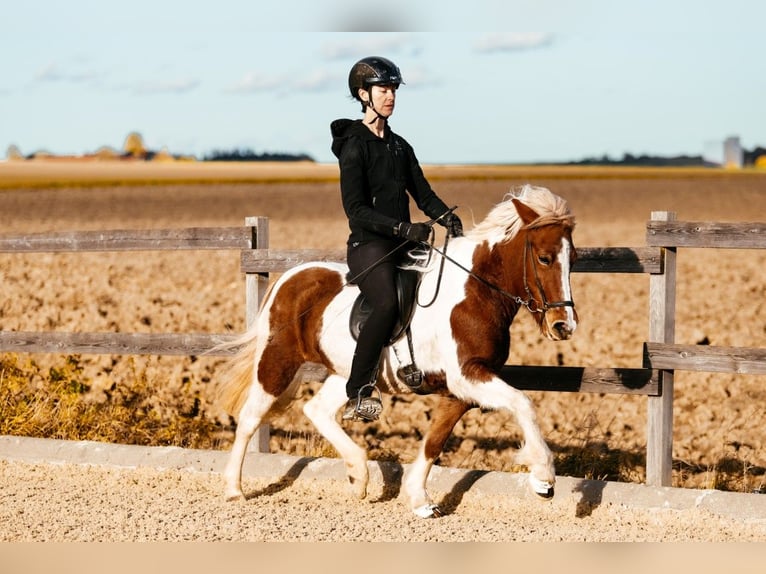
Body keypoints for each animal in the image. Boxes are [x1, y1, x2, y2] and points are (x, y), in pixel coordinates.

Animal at [216, 184, 578, 518]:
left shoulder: (460, 390)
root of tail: (290, 276)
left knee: (317, 410)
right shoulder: (468, 377)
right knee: (250, 417)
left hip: (348, 373)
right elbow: (523, 403)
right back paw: (234, 489)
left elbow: (435, 441)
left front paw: (419, 499)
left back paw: (358, 475)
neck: (475, 292)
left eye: (572, 259)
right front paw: (543, 478)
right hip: (277, 360)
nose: (564, 326)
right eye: (544, 257)